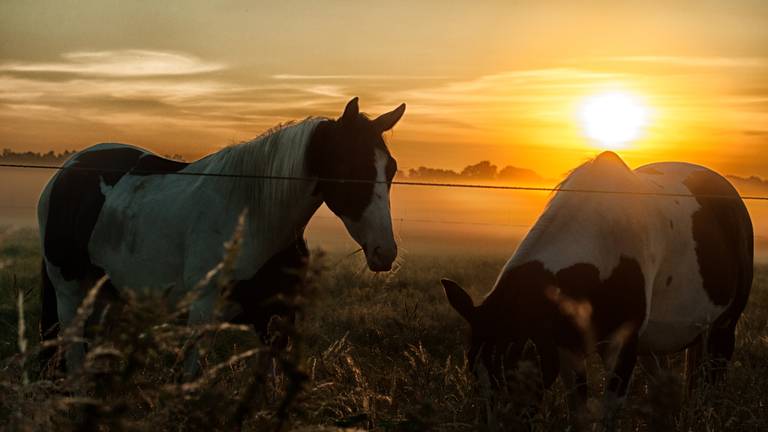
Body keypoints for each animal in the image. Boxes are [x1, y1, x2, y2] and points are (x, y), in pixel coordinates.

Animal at [39, 98, 408, 374]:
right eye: (351, 169)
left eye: (390, 169)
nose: (385, 252)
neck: (254, 218)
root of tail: (68, 170)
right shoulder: (203, 313)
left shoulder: (273, 319)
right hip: (69, 294)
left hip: (105, 295)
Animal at [440, 151, 752, 426]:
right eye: (474, 375)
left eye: (516, 376)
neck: (603, 246)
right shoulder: (567, 347)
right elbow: (579, 413)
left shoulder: (621, 348)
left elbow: (607, 416)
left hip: (723, 328)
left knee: (711, 388)